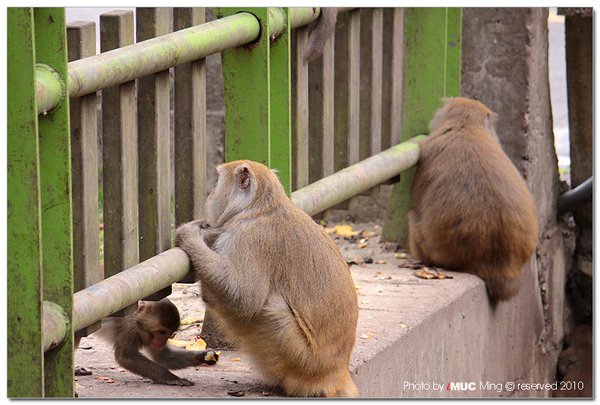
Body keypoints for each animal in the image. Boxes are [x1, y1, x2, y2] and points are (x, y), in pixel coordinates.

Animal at [176, 159, 358, 396]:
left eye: (217, 182)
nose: (211, 193)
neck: (260, 208)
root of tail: (338, 375)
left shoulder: (249, 238)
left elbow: (245, 298)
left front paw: (189, 235)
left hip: (299, 357)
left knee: (272, 307)